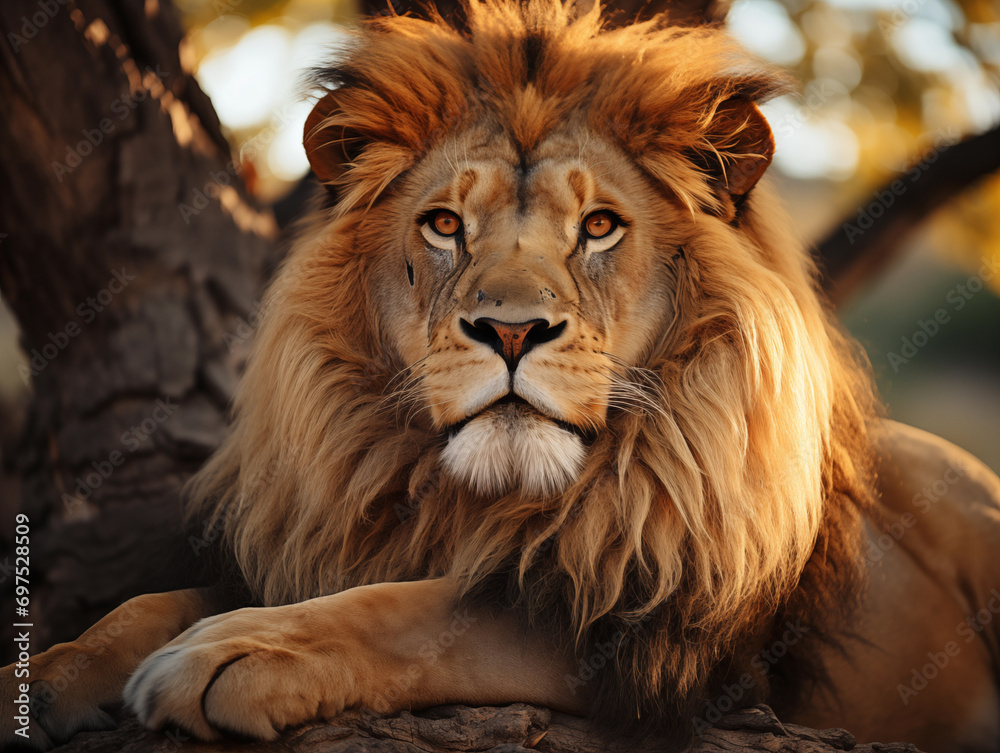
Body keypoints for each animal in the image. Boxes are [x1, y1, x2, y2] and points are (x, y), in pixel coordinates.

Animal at [4, 1, 1000, 751]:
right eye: (445, 224)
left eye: (598, 227)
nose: (511, 330)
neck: (481, 497)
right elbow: (152, 601)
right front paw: (42, 675)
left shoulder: (655, 638)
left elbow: (425, 610)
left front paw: (236, 655)